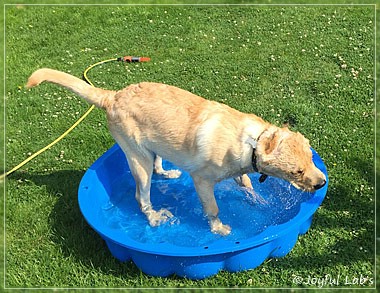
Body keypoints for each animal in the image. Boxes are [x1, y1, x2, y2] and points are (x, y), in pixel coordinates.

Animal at [26, 69, 326, 235]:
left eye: (311, 158)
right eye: (296, 171)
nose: (322, 182)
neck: (253, 141)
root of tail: (112, 96)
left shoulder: (240, 170)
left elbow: (248, 185)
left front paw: (258, 201)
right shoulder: (202, 181)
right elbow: (212, 208)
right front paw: (218, 229)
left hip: (154, 145)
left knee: (157, 165)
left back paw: (167, 173)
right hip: (137, 159)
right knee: (141, 196)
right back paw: (154, 216)